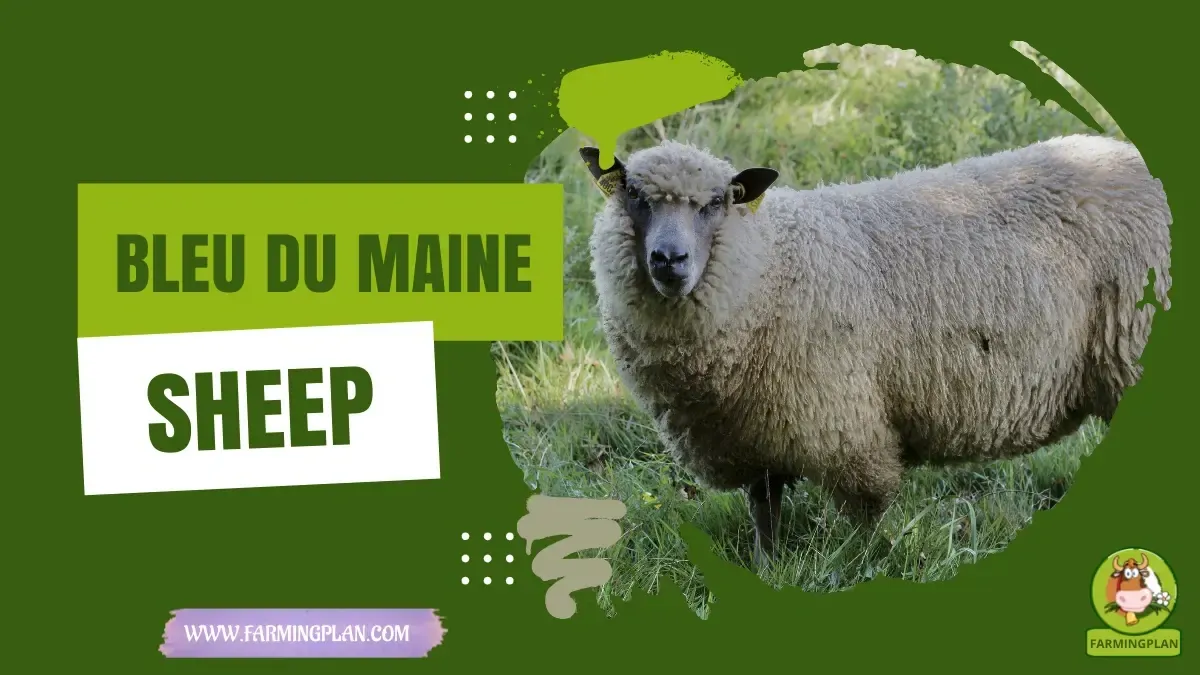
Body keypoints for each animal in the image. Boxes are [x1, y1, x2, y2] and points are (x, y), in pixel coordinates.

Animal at [577, 134, 1172, 568]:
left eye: (716, 203)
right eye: (634, 196)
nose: (669, 260)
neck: (771, 265)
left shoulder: (843, 423)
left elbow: (865, 510)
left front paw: (862, 562)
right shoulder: (752, 432)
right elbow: (763, 507)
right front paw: (767, 566)